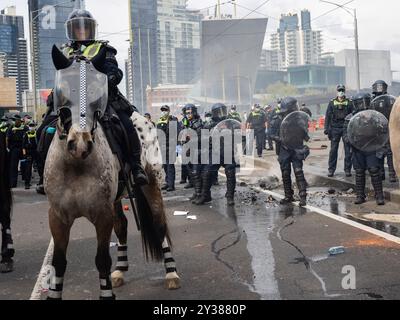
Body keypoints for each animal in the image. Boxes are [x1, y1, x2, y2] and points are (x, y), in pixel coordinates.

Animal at [43, 45, 180, 300]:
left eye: (96, 92)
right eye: (61, 90)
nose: (80, 144)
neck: (76, 165)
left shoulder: (101, 214)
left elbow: (102, 259)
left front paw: (106, 293)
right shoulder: (57, 217)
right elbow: (58, 262)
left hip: (151, 186)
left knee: (159, 225)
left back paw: (171, 273)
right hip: (116, 198)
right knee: (123, 226)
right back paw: (120, 270)